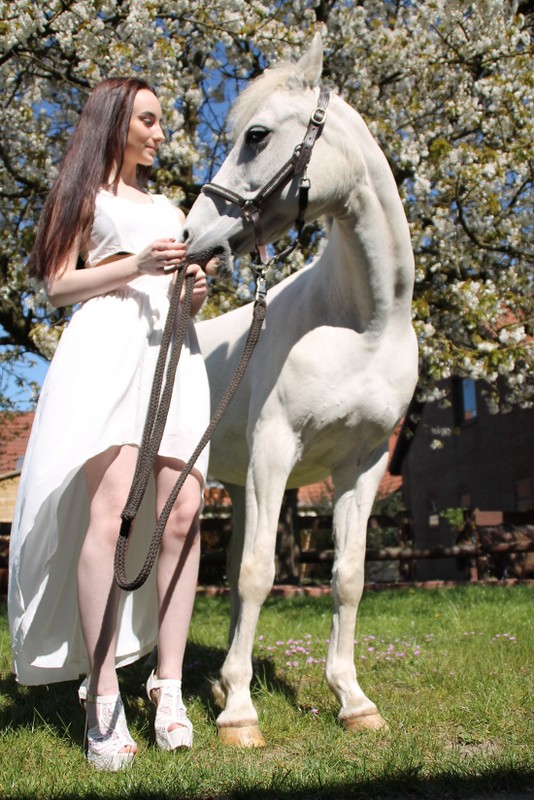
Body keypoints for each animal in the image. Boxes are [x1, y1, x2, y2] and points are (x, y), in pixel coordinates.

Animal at [183, 33, 419, 746]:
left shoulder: (361, 465)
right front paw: (239, 713)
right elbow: (260, 574)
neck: (363, 324)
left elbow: (347, 578)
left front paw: (353, 700)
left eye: (256, 136)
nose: (189, 235)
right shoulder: (274, 451)